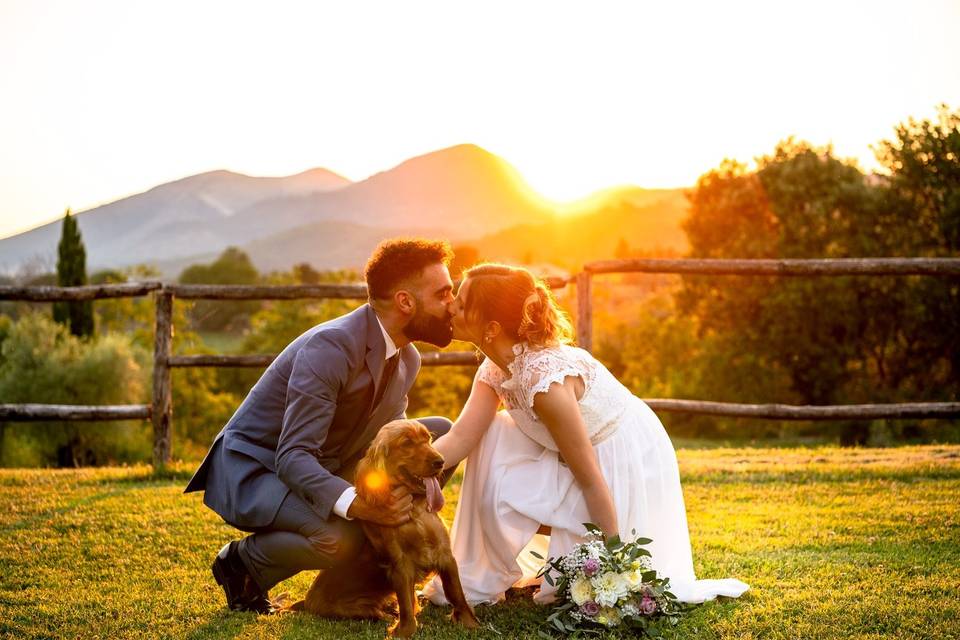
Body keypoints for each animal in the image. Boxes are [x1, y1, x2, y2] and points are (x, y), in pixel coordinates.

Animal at [288, 422, 476, 636]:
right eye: (407, 443)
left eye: (427, 439)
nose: (440, 461)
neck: (415, 512)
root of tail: (306, 602)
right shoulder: (401, 564)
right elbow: (406, 604)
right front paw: (404, 633)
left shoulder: (444, 554)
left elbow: (457, 593)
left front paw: (470, 624)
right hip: (357, 609)